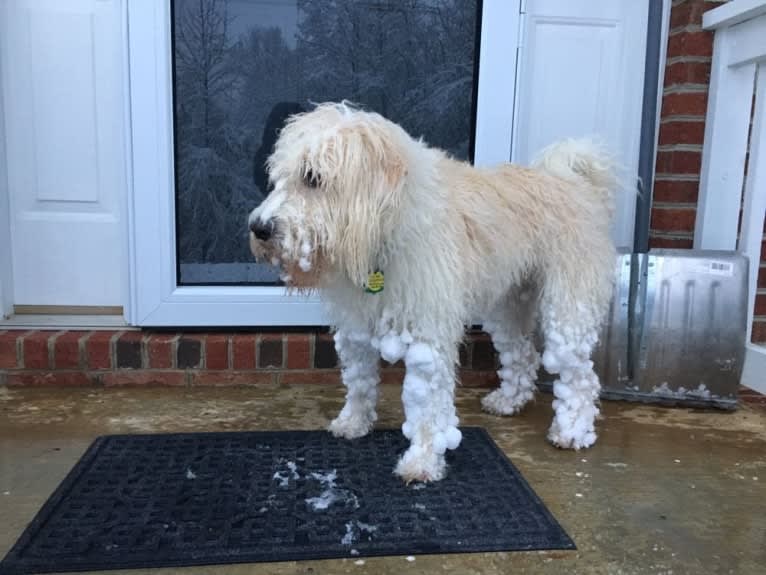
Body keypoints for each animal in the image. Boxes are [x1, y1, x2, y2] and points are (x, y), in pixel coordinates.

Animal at [249, 102, 620, 482]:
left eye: (312, 178)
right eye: (277, 179)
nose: (258, 228)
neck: (385, 234)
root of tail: (577, 183)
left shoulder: (428, 337)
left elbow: (427, 408)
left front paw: (422, 462)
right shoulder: (356, 327)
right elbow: (359, 381)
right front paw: (353, 423)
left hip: (568, 311)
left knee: (582, 377)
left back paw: (572, 431)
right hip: (508, 307)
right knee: (523, 355)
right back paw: (508, 402)